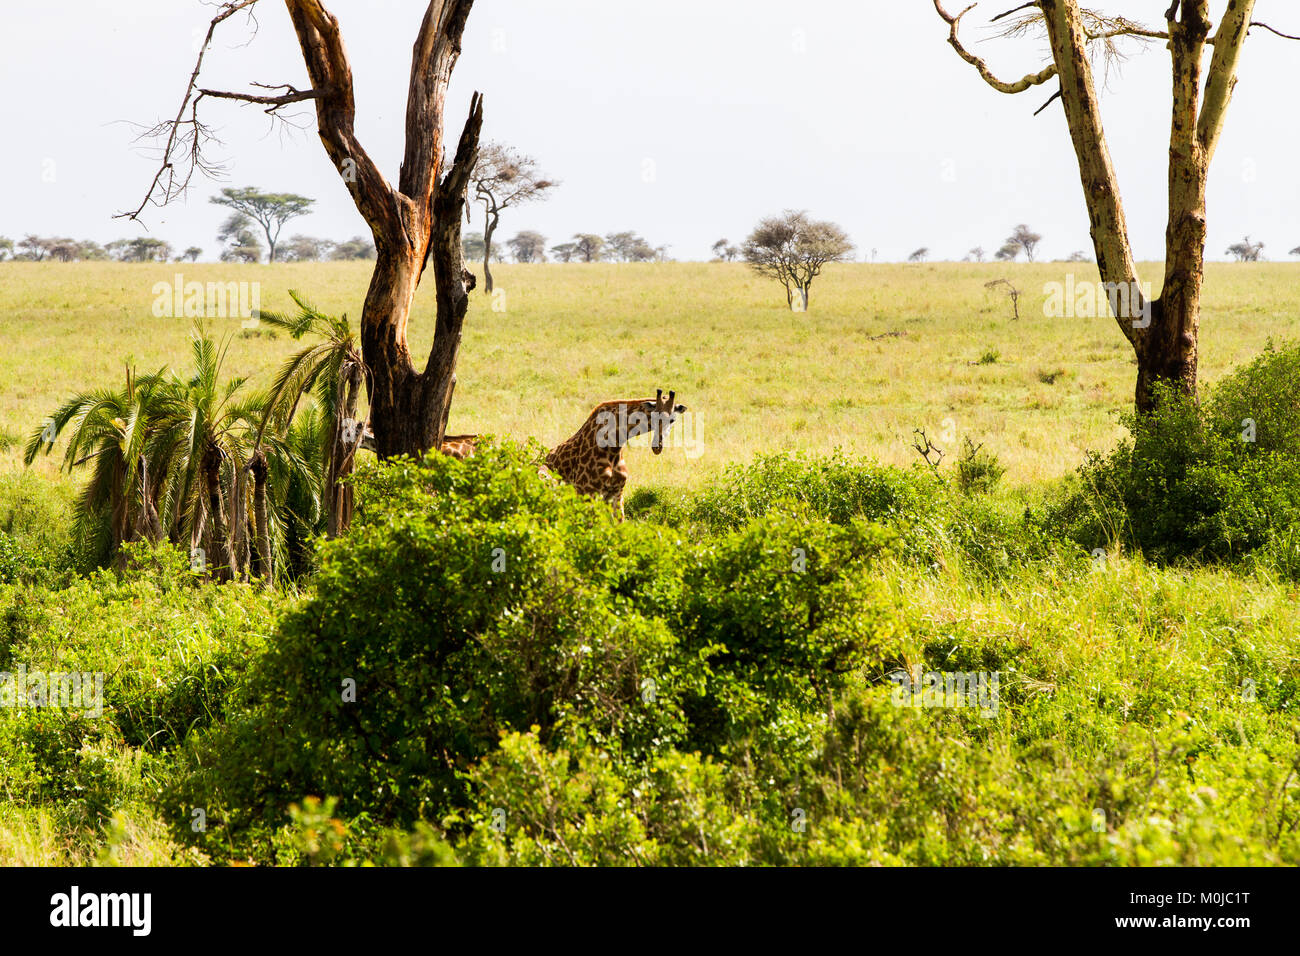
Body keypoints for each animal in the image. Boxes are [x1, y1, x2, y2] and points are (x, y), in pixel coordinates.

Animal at [546, 390, 691, 522]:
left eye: (672, 420)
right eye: (654, 415)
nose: (657, 446)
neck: (612, 446)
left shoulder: (616, 492)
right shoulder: (588, 492)